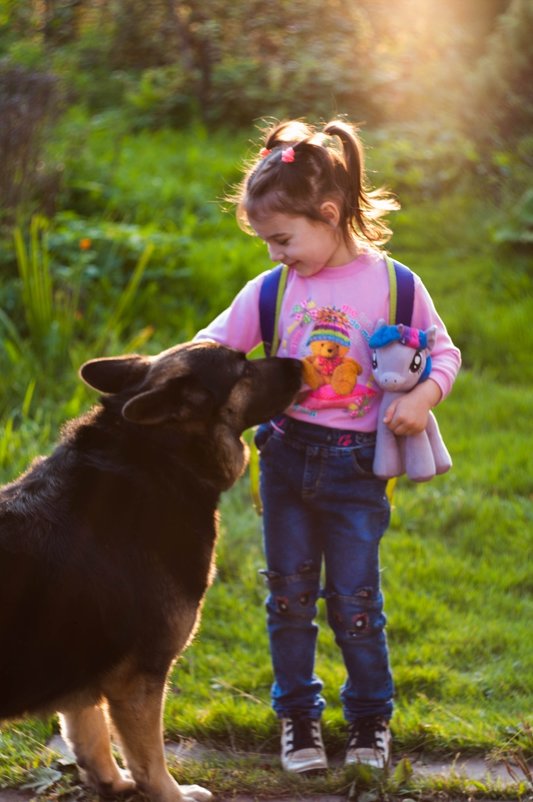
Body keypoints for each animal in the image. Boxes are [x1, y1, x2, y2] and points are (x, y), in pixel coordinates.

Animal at [0, 342, 302, 800]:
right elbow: (150, 761)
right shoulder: (138, 681)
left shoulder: (85, 671)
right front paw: (171, 794)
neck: (157, 454)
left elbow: (89, 733)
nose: (301, 364)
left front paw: (111, 782)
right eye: (242, 368)